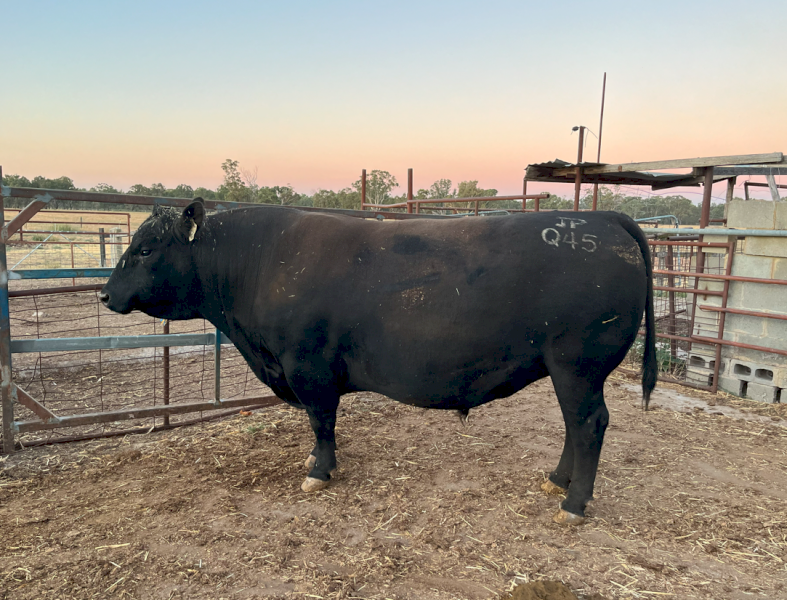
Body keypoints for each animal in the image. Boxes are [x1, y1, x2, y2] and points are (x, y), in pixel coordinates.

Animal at [100, 201, 656, 525]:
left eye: (145, 248)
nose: (105, 294)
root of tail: (601, 218)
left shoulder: (308, 366)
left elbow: (321, 421)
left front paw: (319, 471)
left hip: (577, 364)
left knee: (589, 424)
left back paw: (573, 504)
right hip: (567, 368)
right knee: (573, 426)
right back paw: (556, 480)